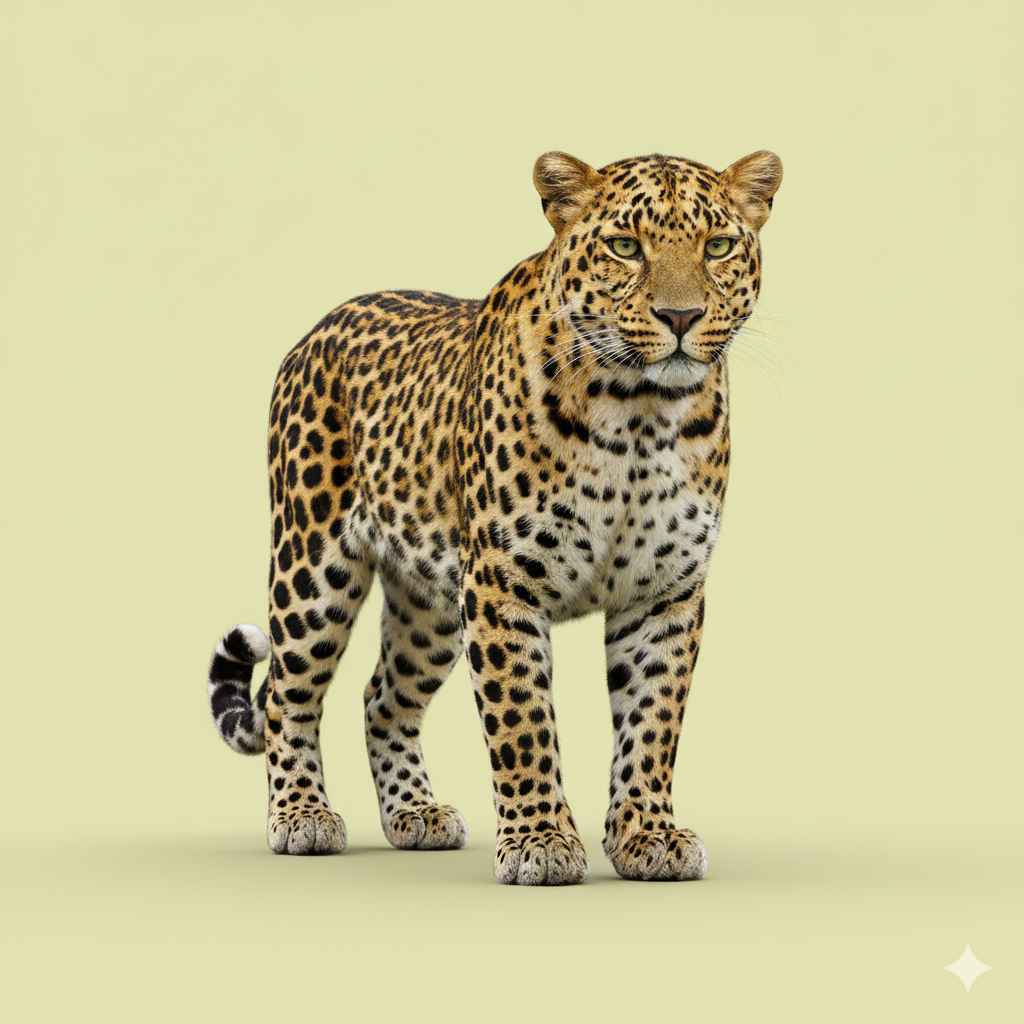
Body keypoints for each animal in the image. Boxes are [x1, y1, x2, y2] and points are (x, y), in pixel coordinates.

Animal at [206, 148, 782, 884]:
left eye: (718, 247)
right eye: (626, 247)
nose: (679, 317)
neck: (641, 414)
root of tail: (318, 328)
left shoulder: (666, 594)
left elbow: (652, 722)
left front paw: (647, 836)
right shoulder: (503, 587)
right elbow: (522, 721)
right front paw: (542, 842)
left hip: (428, 607)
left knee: (381, 699)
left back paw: (414, 814)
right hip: (312, 566)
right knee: (288, 692)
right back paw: (302, 815)